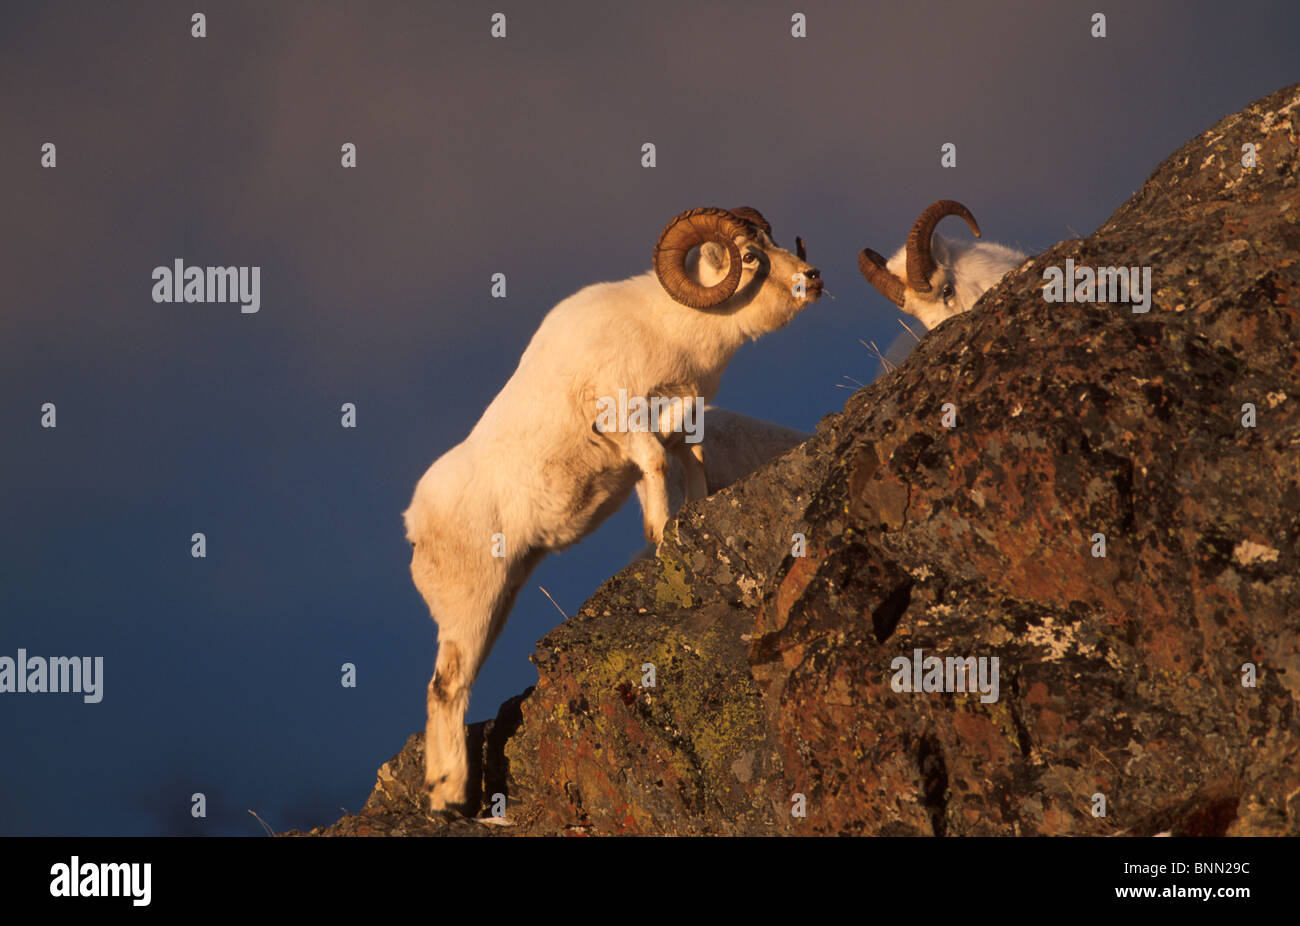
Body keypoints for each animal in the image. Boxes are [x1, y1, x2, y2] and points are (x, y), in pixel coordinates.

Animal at [403, 206, 822, 812]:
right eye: (749, 256)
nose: (812, 278)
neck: (671, 330)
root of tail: (415, 525)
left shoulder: (683, 417)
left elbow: (690, 462)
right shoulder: (625, 423)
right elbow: (656, 466)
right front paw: (661, 534)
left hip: (500, 601)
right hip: (472, 607)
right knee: (446, 689)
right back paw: (450, 799)